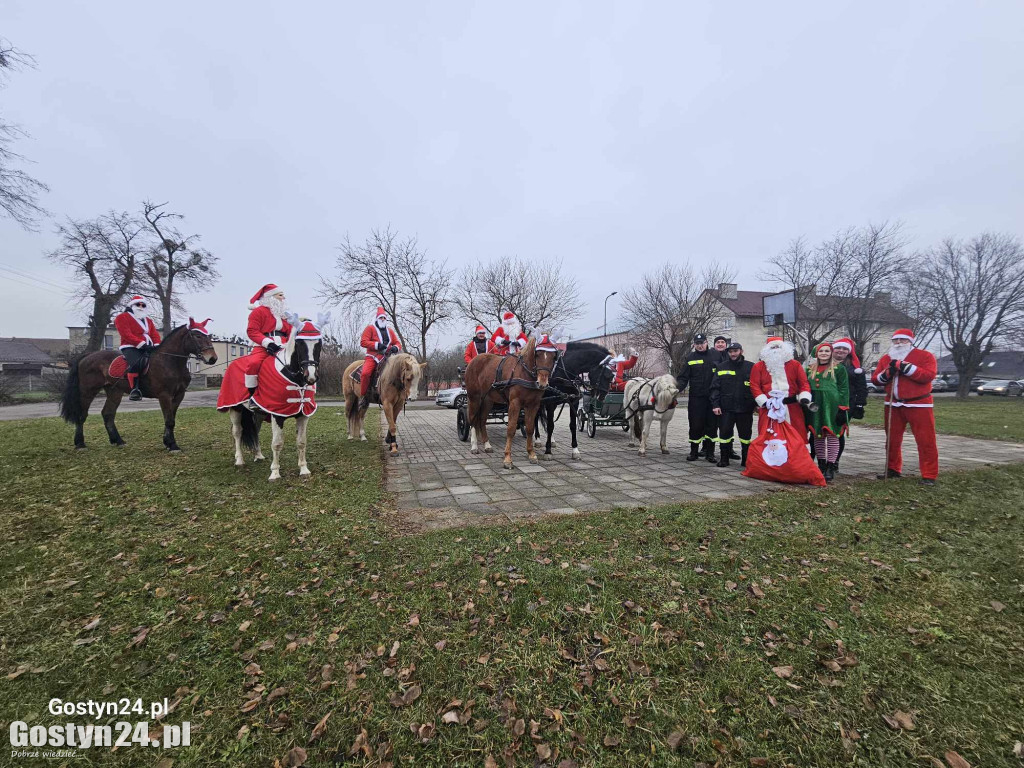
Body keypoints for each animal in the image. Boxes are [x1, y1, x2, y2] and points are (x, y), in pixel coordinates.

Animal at [59, 321, 218, 454]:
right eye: (197, 335)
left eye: (208, 336)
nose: (212, 358)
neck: (170, 361)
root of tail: (87, 356)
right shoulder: (164, 395)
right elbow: (169, 420)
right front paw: (173, 446)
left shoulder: (179, 395)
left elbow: (171, 419)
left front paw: (167, 442)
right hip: (88, 391)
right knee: (82, 414)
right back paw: (80, 444)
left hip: (114, 391)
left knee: (107, 414)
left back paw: (118, 441)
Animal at [220, 315, 323, 479]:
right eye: (300, 343)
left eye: (319, 343)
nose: (311, 376)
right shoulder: (277, 414)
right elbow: (277, 443)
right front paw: (275, 473)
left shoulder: (303, 415)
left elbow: (301, 442)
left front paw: (304, 469)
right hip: (235, 408)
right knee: (237, 432)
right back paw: (239, 460)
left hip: (259, 413)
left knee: (255, 430)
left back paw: (258, 455)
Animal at [464, 335, 557, 468]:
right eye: (537, 354)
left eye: (554, 356)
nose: (543, 383)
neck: (525, 373)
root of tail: (474, 360)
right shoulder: (515, 403)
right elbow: (511, 429)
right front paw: (507, 458)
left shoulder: (533, 405)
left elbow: (530, 428)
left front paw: (531, 454)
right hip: (474, 398)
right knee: (472, 420)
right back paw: (474, 446)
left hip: (487, 401)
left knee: (481, 421)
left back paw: (487, 445)